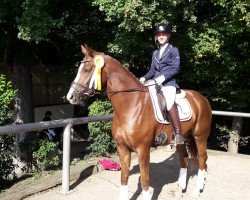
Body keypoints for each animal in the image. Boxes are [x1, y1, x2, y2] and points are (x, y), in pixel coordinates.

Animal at [67, 44, 213, 199]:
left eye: (87, 70)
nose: (70, 97)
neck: (131, 105)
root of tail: (201, 98)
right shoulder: (122, 148)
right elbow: (124, 178)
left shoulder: (143, 149)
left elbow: (144, 182)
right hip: (182, 138)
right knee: (184, 158)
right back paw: (180, 189)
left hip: (200, 136)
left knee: (202, 159)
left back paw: (196, 191)